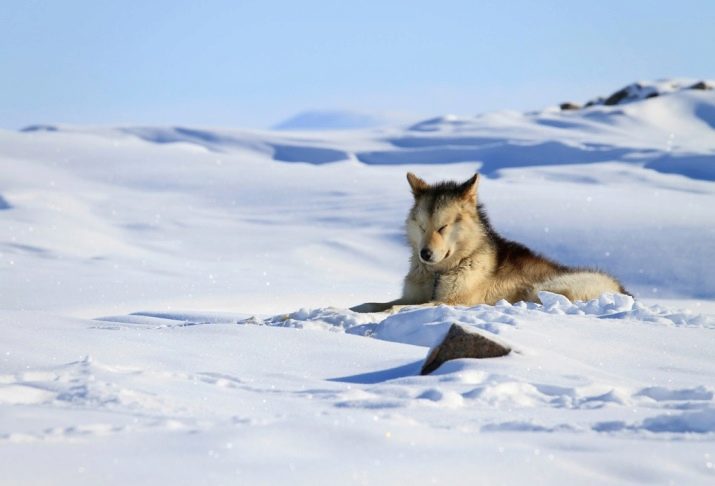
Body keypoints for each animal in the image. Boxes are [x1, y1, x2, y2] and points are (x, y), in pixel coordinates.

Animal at [352, 173, 628, 314]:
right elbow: (373, 303)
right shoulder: (412, 295)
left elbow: (397, 309)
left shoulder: (453, 302)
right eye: (421, 226)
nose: (425, 254)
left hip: (545, 286)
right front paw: (352, 309)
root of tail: (623, 290)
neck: (440, 273)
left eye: (443, 227)